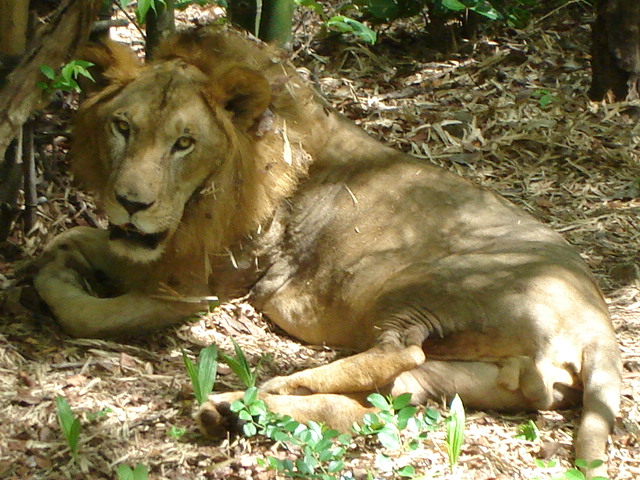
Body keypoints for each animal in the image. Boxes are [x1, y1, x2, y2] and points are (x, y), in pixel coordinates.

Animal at [33, 28, 620, 474]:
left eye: (184, 142)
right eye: (122, 127)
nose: (132, 203)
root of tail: (598, 320)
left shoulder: (200, 287)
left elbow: (90, 313)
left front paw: (55, 288)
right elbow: (61, 243)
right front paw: (49, 264)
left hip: (433, 283)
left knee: (399, 354)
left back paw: (263, 389)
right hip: (484, 374)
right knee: (397, 395)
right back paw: (235, 411)